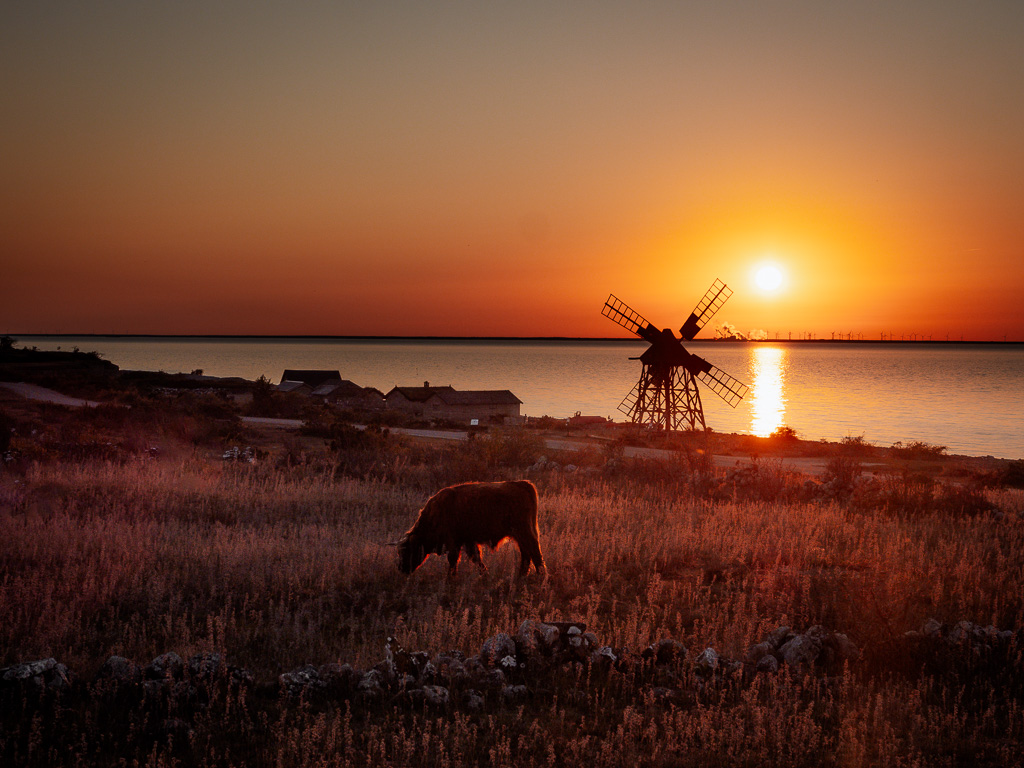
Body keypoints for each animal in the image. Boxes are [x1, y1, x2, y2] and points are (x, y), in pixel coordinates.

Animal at [395, 481, 548, 577]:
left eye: (407, 551)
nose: (401, 569)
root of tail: (523, 484)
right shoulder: (468, 541)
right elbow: (476, 558)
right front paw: (485, 574)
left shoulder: (453, 542)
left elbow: (453, 560)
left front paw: (450, 579)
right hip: (520, 536)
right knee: (526, 554)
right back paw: (521, 576)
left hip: (525, 533)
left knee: (535, 553)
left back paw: (540, 577)